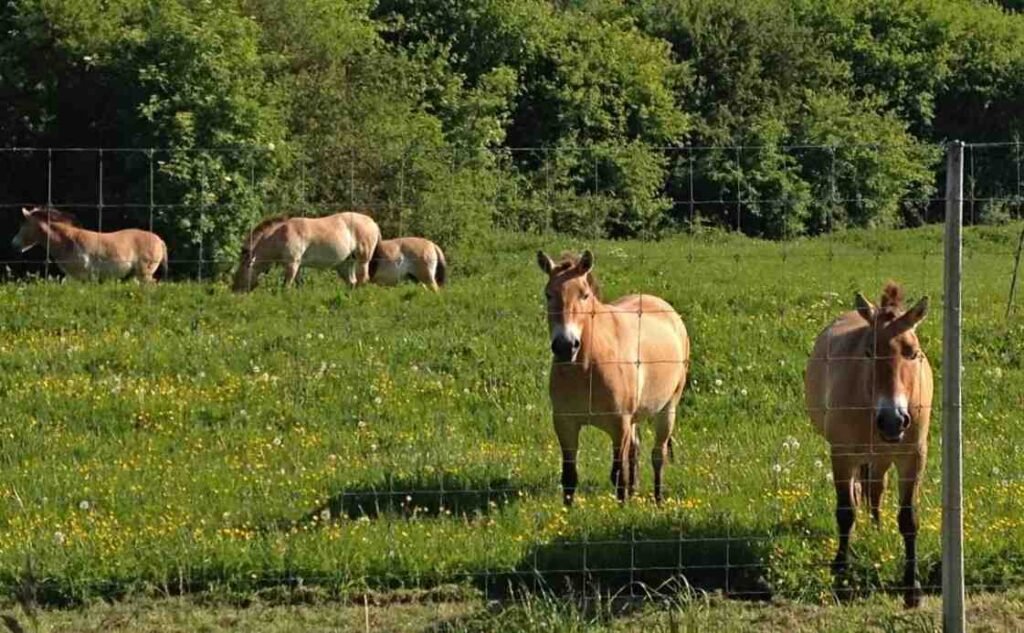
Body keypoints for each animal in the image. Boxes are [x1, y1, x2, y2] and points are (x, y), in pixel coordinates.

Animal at [11, 207, 168, 282]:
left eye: (24, 225)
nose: (14, 244)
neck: (68, 241)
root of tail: (159, 240)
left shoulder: (82, 276)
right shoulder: (72, 277)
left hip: (144, 274)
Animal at [232, 212, 381, 292]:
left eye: (241, 271)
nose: (234, 291)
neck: (280, 234)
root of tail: (373, 222)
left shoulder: (292, 264)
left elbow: (286, 286)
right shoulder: (297, 266)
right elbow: (297, 285)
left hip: (363, 260)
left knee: (363, 279)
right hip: (345, 264)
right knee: (352, 282)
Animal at [537, 250, 690, 505]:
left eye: (584, 295)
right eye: (548, 294)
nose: (565, 346)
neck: (586, 368)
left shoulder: (619, 426)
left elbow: (618, 474)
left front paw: (622, 509)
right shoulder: (565, 424)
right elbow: (569, 476)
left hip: (667, 409)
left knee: (657, 456)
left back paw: (658, 499)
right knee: (635, 451)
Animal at [804, 282, 932, 608]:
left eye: (912, 353)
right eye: (869, 352)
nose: (893, 420)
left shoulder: (912, 457)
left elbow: (909, 518)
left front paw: (912, 587)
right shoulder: (842, 455)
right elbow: (845, 511)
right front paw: (840, 574)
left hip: (882, 457)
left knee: (875, 490)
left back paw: (876, 530)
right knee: (863, 491)